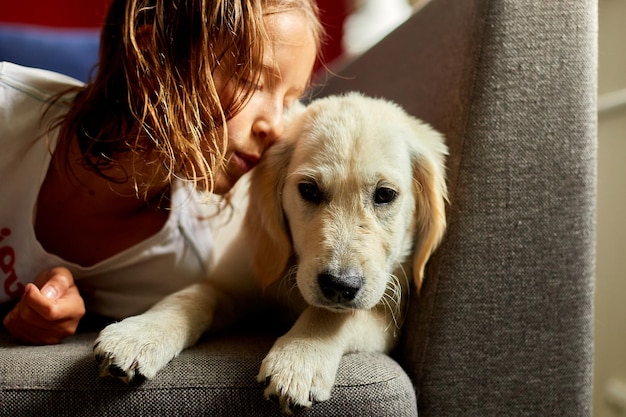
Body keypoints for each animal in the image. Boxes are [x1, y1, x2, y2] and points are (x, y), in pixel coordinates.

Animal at [92, 92, 446, 412]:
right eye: (308, 190)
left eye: (385, 195)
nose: (338, 285)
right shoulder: (235, 282)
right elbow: (190, 296)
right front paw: (139, 335)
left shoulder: (387, 313)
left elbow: (331, 314)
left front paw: (298, 360)